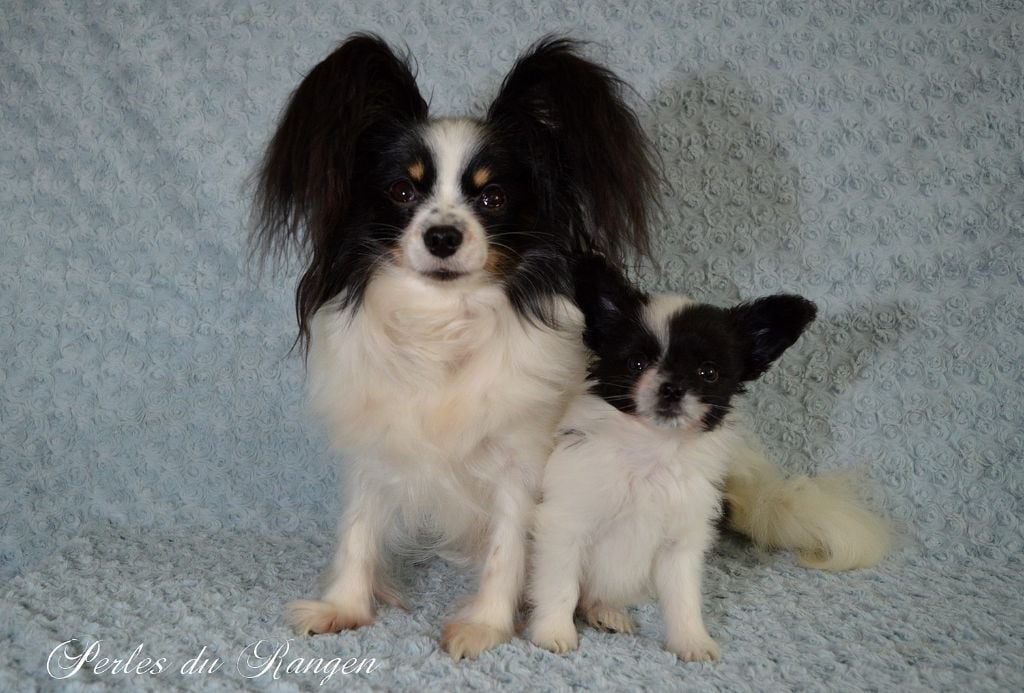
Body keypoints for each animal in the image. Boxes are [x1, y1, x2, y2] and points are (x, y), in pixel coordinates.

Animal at [528, 256, 815, 663]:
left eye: (708, 372)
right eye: (636, 363)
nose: (672, 388)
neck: (653, 452)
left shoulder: (682, 542)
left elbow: (684, 598)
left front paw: (691, 642)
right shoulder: (566, 524)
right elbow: (560, 585)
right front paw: (553, 632)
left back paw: (605, 612)